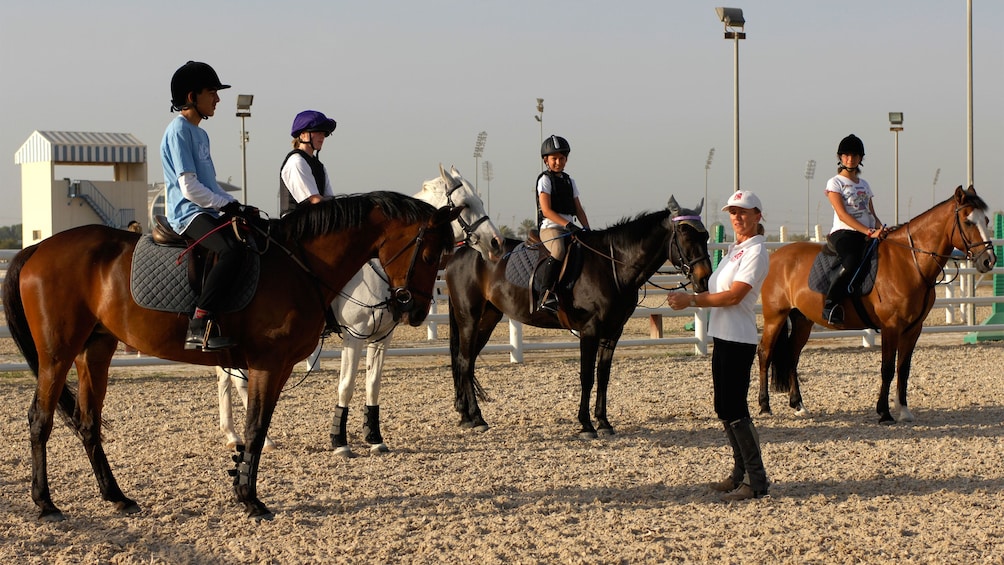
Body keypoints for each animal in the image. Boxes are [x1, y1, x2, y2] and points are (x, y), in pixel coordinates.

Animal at [0, 191, 459, 521]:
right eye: (430, 253)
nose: (416, 310)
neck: (300, 263)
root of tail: (39, 248)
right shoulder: (268, 365)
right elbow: (255, 429)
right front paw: (250, 499)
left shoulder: (272, 367)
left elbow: (258, 426)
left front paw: (242, 486)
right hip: (56, 353)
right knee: (40, 420)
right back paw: (45, 504)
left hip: (95, 350)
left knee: (87, 422)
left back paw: (117, 497)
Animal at [218, 165, 501, 457]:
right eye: (466, 204)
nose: (496, 243)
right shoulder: (354, 335)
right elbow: (346, 386)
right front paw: (339, 441)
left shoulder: (382, 336)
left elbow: (373, 384)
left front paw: (374, 437)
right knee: (235, 380)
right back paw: (252, 438)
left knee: (225, 379)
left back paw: (233, 434)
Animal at [447, 196, 714, 439]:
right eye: (686, 236)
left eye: (705, 236)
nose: (704, 279)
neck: (612, 266)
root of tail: (460, 253)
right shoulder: (590, 330)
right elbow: (587, 376)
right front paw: (586, 425)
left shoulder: (613, 332)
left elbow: (603, 376)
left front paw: (604, 422)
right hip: (469, 318)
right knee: (464, 361)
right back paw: (477, 418)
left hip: (488, 318)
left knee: (467, 361)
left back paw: (466, 416)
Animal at [759, 186, 995, 425]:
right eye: (967, 222)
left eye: (985, 220)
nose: (989, 261)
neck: (909, 261)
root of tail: (777, 256)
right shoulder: (891, 326)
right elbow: (887, 368)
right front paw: (884, 413)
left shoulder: (913, 329)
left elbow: (903, 369)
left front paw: (904, 411)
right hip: (775, 317)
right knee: (765, 353)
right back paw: (764, 406)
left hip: (802, 320)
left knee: (792, 356)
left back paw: (799, 405)